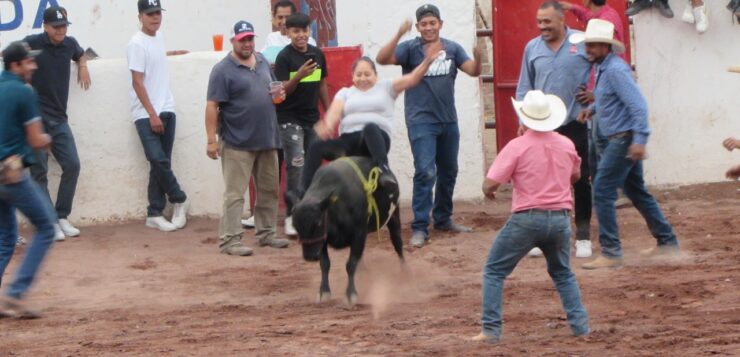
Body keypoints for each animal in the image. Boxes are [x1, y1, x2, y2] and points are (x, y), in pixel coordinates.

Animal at [290, 156, 404, 304]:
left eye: (318, 223)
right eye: (295, 226)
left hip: (394, 216)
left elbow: (350, 264)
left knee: (398, 243)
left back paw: (406, 272)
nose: (309, 256)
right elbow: (325, 264)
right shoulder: (323, 240)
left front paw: (351, 294)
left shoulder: (359, 233)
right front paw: (323, 292)